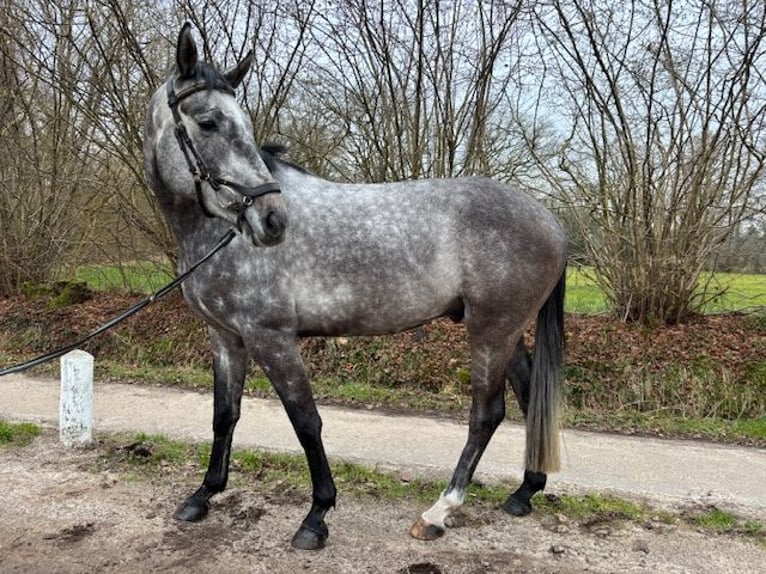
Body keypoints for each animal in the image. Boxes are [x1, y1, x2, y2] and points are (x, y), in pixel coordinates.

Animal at [144, 24, 568, 552]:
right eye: (207, 122)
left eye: (241, 123)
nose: (272, 220)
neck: (219, 233)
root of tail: (551, 221)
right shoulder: (225, 337)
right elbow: (225, 415)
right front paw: (203, 495)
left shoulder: (271, 337)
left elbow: (305, 421)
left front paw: (316, 516)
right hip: (502, 332)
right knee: (530, 397)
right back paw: (524, 492)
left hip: (492, 331)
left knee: (486, 414)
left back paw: (439, 512)